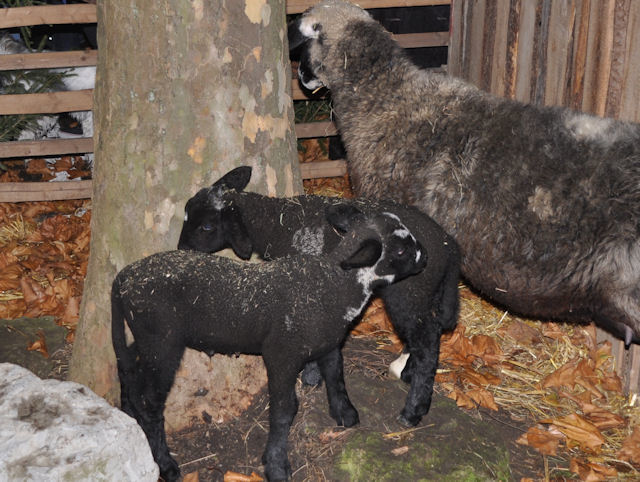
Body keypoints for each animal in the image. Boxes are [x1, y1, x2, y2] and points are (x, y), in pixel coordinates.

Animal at [112, 206, 427, 481]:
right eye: (400, 250)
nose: (425, 258)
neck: (333, 284)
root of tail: (124, 277)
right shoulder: (281, 354)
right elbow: (285, 408)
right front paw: (276, 464)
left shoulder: (328, 341)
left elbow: (336, 373)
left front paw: (345, 414)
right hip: (161, 342)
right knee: (151, 403)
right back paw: (166, 465)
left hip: (145, 337)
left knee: (128, 370)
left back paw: (130, 418)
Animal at [178, 166, 460, 429]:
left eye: (206, 226)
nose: (181, 249)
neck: (278, 224)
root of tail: (449, 245)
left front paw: (312, 376)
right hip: (429, 292)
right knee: (432, 329)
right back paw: (407, 371)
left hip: (409, 292)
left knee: (427, 341)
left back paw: (413, 410)